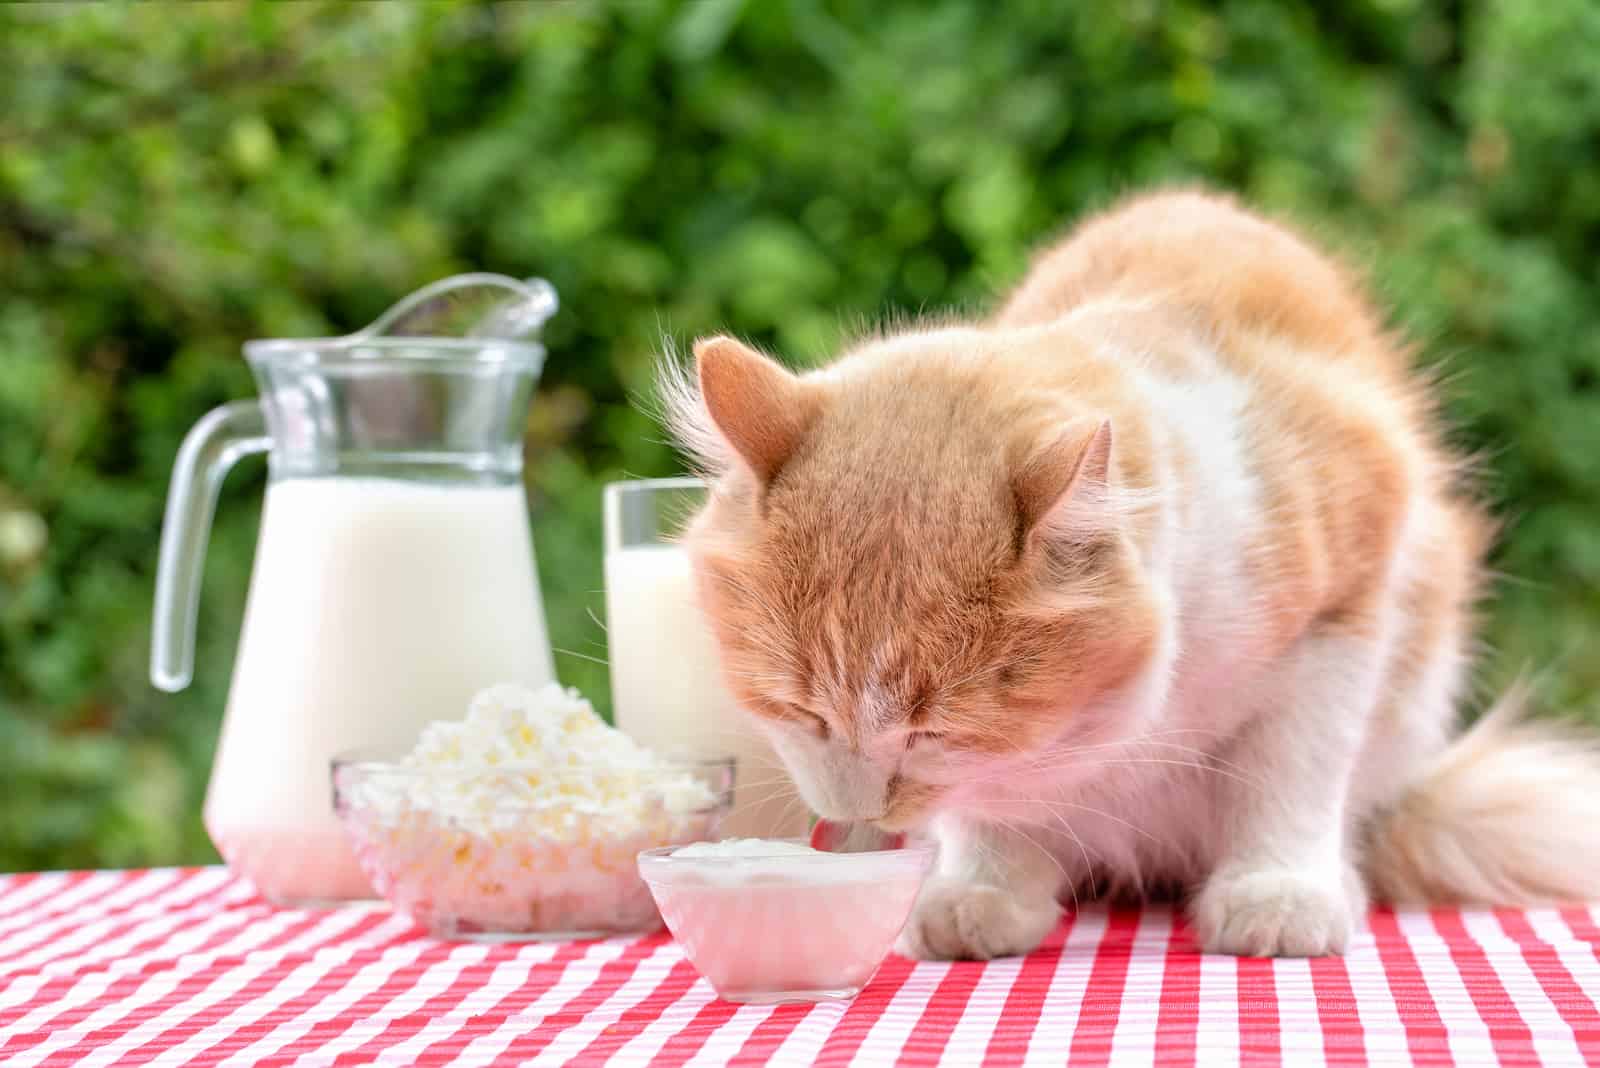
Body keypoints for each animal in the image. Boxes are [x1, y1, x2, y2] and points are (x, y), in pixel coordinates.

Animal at [652, 189, 1600, 959]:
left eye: (933, 732)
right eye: (799, 710)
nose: (860, 812)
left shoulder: (1344, 616)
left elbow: (1291, 775)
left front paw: (1279, 892)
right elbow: (989, 809)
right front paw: (984, 890)